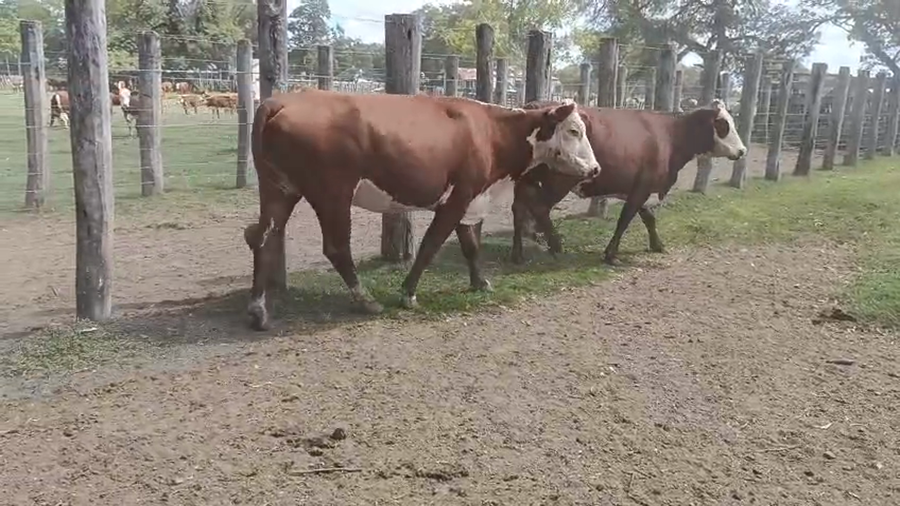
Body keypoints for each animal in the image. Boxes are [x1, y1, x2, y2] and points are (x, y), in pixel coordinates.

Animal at [243, 90, 601, 330]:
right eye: (574, 131)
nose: (596, 169)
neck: (491, 132)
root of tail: (282, 100)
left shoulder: (469, 200)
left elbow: (471, 245)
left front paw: (480, 283)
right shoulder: (459, 196)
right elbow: (431, 245)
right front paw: (408, 294)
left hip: (279, 189)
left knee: (262, 237)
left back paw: (259, 309)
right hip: (332, 193)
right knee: (336, 247)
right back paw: (366, 300)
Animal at [509, 99, 747, 266]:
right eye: (723, 124)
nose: (743, 150)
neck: (670, 135)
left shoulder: (636, 187)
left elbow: (648, 216)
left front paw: (657, 244)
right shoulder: (642, 187)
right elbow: (625, 219)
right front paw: (611, 254)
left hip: (528, 179)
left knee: (519, 206)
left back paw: (518, 253)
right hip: (560, 180)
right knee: (539, 207)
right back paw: (556, 245)